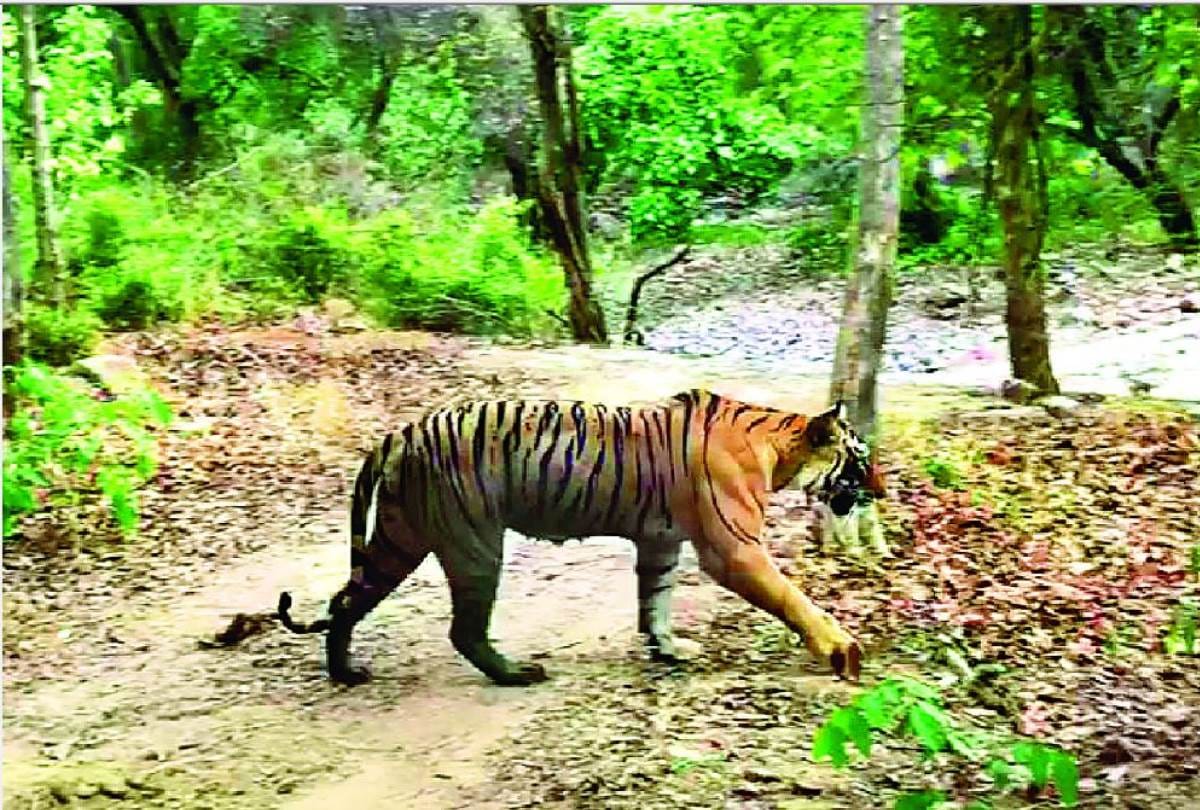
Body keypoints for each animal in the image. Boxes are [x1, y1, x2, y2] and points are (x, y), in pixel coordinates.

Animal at [278, 389, 885, 687]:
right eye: (860, 461)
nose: (881, 489)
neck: (779, 448)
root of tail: (402, 430)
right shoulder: (733, 548)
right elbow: (793, 599)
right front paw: (841, 649)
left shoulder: (660, 542)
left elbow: (654, 600)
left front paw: (667, 649)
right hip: (474, 542)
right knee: (462, 629)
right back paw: (517, 675)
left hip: (399, 535)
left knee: (346, 600)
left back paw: (345, 673)